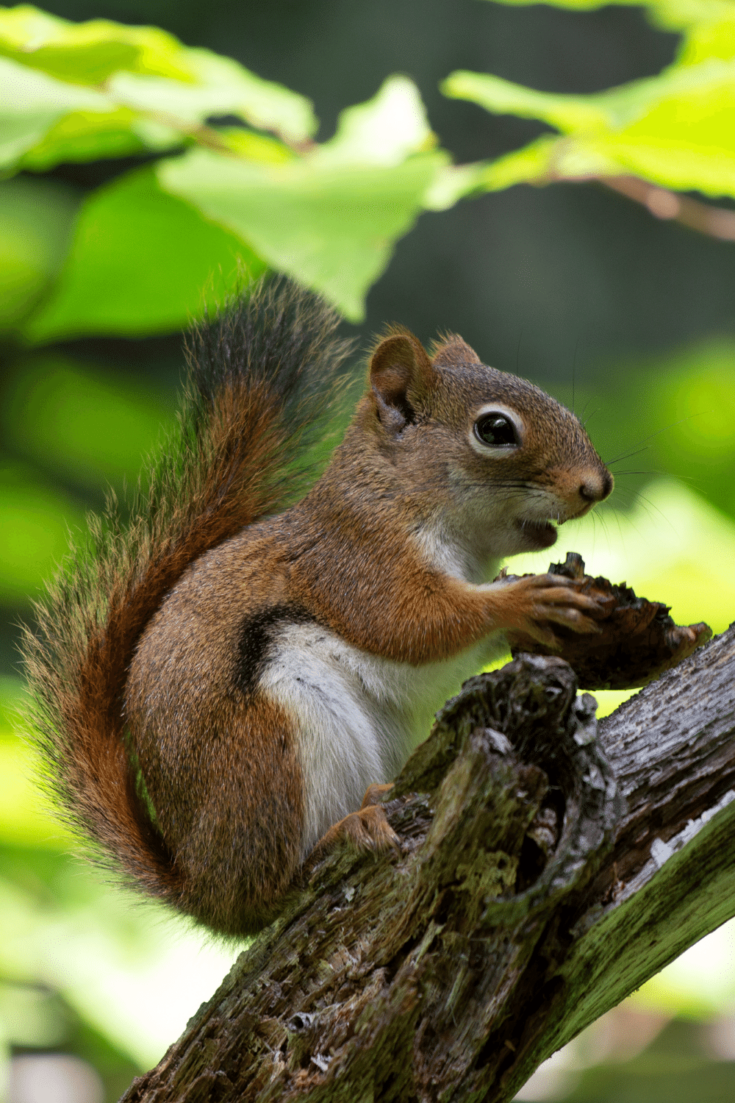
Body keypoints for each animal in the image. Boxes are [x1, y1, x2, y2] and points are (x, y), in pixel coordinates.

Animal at [22, 280, 609, 935]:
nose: (596, 486)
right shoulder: (355, 563)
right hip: (271, 747)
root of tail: (204, 890)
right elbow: (413, 624)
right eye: (496, 430)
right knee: (275, 885)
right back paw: (344, 831)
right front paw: (523, 598)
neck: (395, 494)